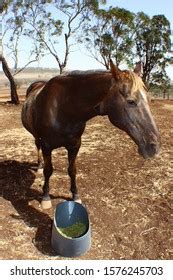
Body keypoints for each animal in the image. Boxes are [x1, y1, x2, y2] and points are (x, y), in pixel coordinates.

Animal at [22, 60, 161, 209]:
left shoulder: (75, 145)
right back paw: (39, 165)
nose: (154, 146)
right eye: (131, 101)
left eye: (149, 99)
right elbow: (48, 171)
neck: (62, 108)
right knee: (37, 146)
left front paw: (75, 196)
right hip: (37, 138)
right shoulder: (47, 146)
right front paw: (46, 197)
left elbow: (72, 170)